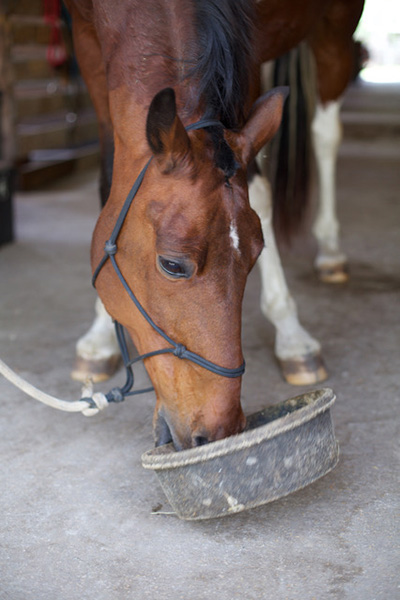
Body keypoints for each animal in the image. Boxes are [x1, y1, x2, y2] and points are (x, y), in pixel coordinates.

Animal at [64, 1, 364, 450]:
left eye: (256, 256)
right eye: (172, 265)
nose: (220, 430)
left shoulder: (251, 49)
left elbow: (259, 189)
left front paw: (292, 336)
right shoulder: (88, 46)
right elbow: (108, 186)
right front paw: (99, 339)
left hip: (337, 25)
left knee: (325, 132)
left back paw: (330, 252)